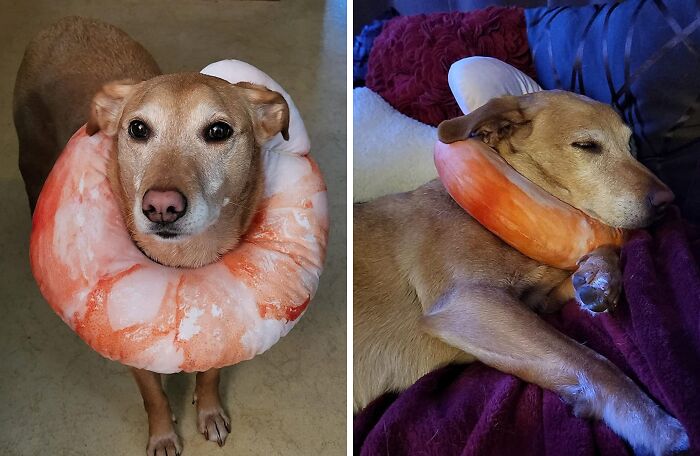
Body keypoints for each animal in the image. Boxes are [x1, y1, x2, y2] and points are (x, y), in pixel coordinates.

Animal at [15, 16, 290, 454]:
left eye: (218, 131)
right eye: (138, 129)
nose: (161, 206)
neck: (185, 257)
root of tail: (67, 21)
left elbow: (210, 375)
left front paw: (209, 411)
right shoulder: (132, 350)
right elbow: (154, 396)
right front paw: (163, 435)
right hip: (31, 152)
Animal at [356, 91, 688, 454]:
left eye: (631, 145)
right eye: (586, 146)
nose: (668, 200)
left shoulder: (539, 299)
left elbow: (601, 254)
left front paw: (598, 278)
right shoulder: (468, 303)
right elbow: (592, 361)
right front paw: (655, 425)